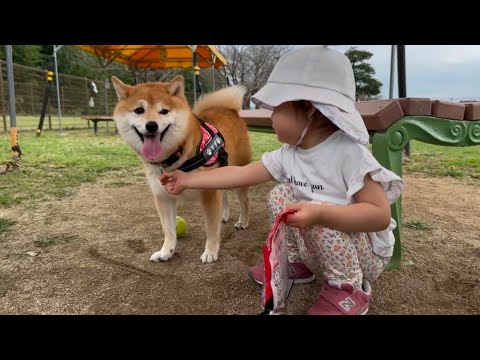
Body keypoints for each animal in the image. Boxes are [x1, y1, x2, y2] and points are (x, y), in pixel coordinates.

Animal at [111, 75, 251, 262]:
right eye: (139, 110)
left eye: (164, 111)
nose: (151, 125)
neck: (178, 154)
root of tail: (229, 110)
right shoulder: (163, 196)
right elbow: (169, 230)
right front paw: (166, 252)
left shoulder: (209, 193)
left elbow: (211, 228)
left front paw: (210, 251)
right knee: (224, 196)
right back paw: (224, 215)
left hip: (237, 175)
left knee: (244, 201)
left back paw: (243, 222)